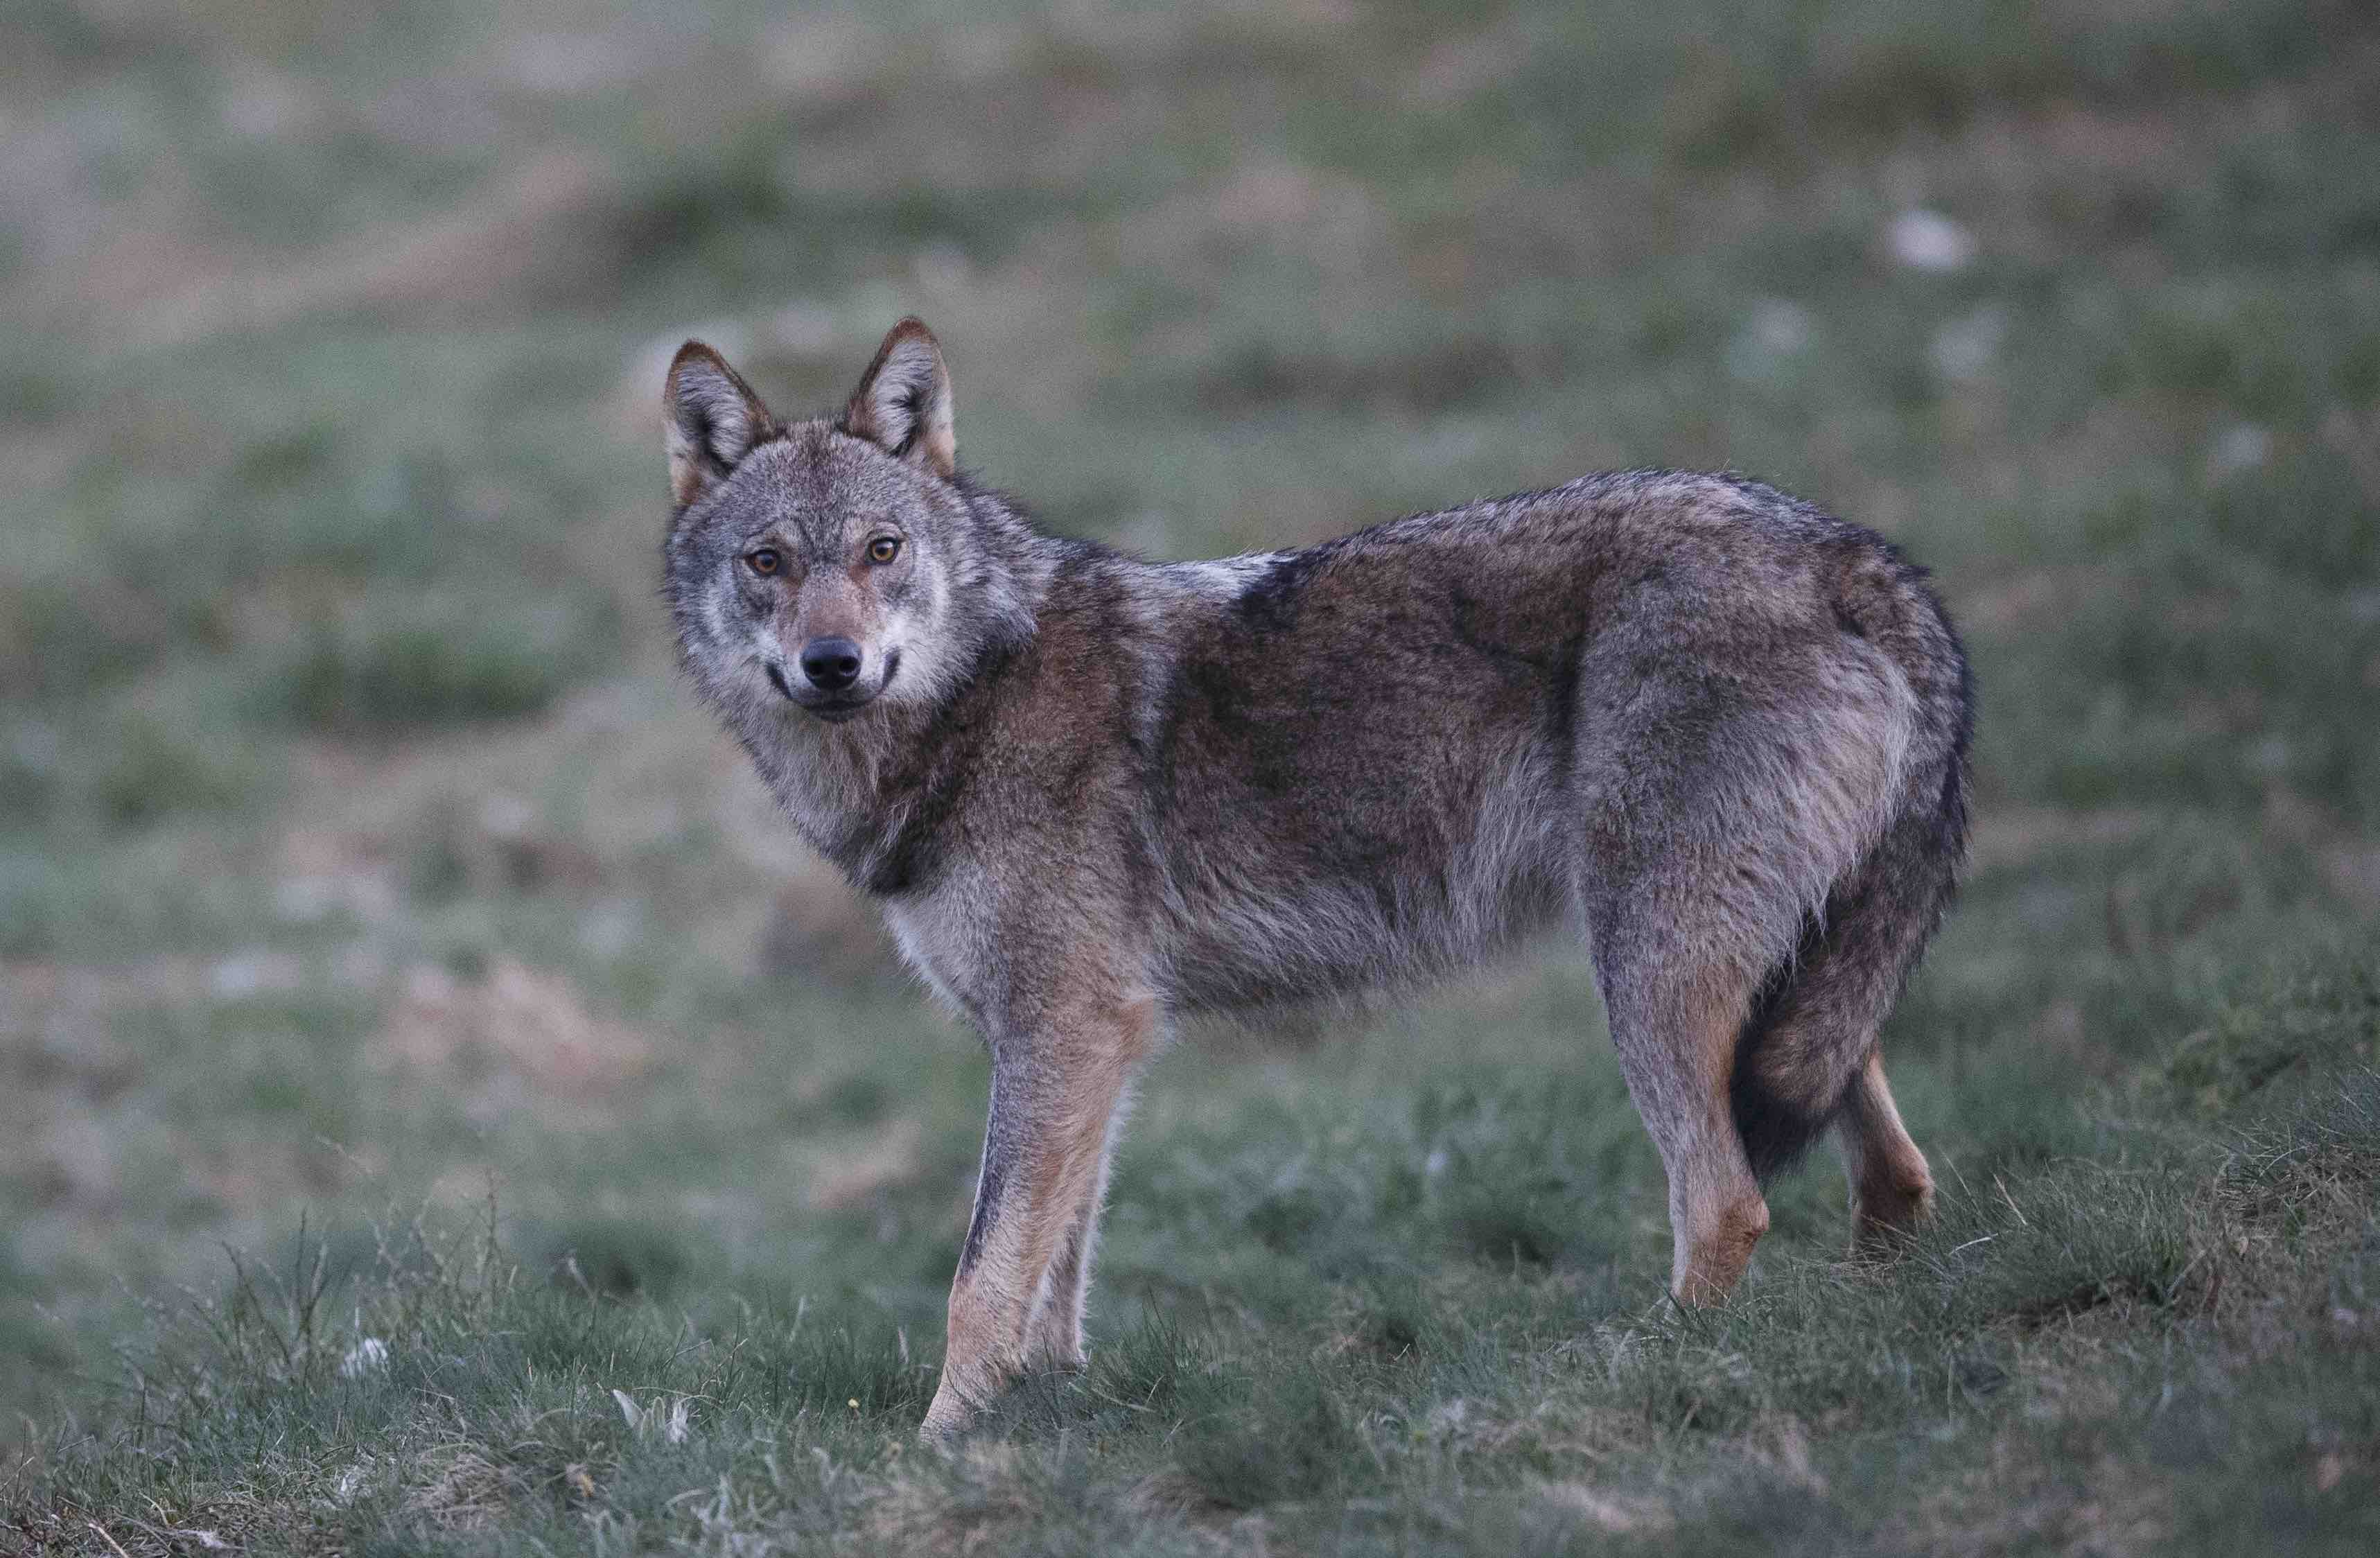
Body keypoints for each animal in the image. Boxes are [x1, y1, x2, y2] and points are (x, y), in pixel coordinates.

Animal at [656, 321, 1970, 1446]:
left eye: (880, 552)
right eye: (768, 562)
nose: (832, 664)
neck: (971, 705)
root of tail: (1855, 554)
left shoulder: (1064, 1025)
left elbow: (982, 1274)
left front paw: (937, 1447)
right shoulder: (1091, 1041)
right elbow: (1054, 1272)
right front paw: (1043, 1417)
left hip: (1648, 973)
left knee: (1726, 1199)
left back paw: (1651, 1370)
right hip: (1782, 984)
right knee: (1893, 1172)